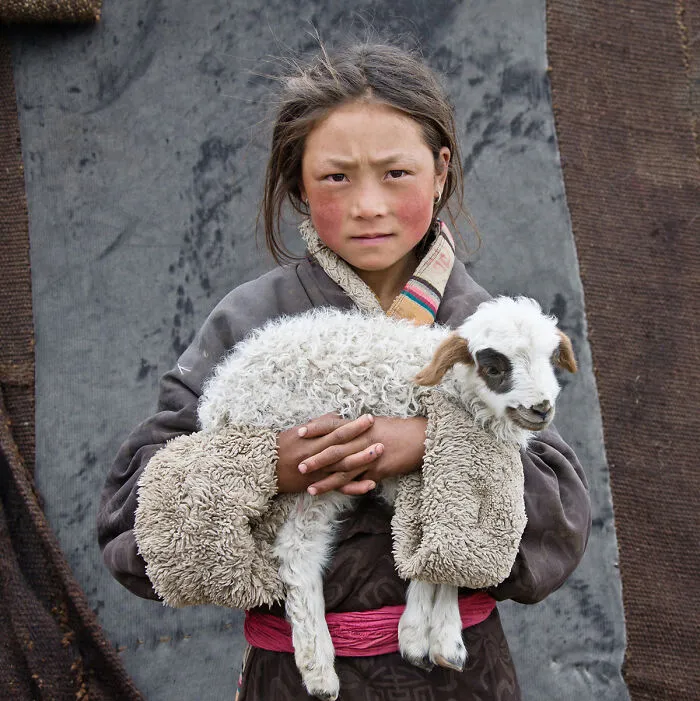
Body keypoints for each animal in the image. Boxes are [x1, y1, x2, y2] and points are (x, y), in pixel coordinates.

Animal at [197, 296, 577, 701]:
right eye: (493, 367)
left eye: (550, 360)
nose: (541, 408)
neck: (455, 391)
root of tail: (217, 400)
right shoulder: (415, 471)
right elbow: (429, 550)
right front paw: (418, 638)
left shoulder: (450, 475)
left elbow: (452, 551)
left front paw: (444, 640)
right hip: (307, 462)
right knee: (297, 550)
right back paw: (321, 665)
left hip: (321, 483)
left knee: (299, 549)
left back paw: (318, 670)